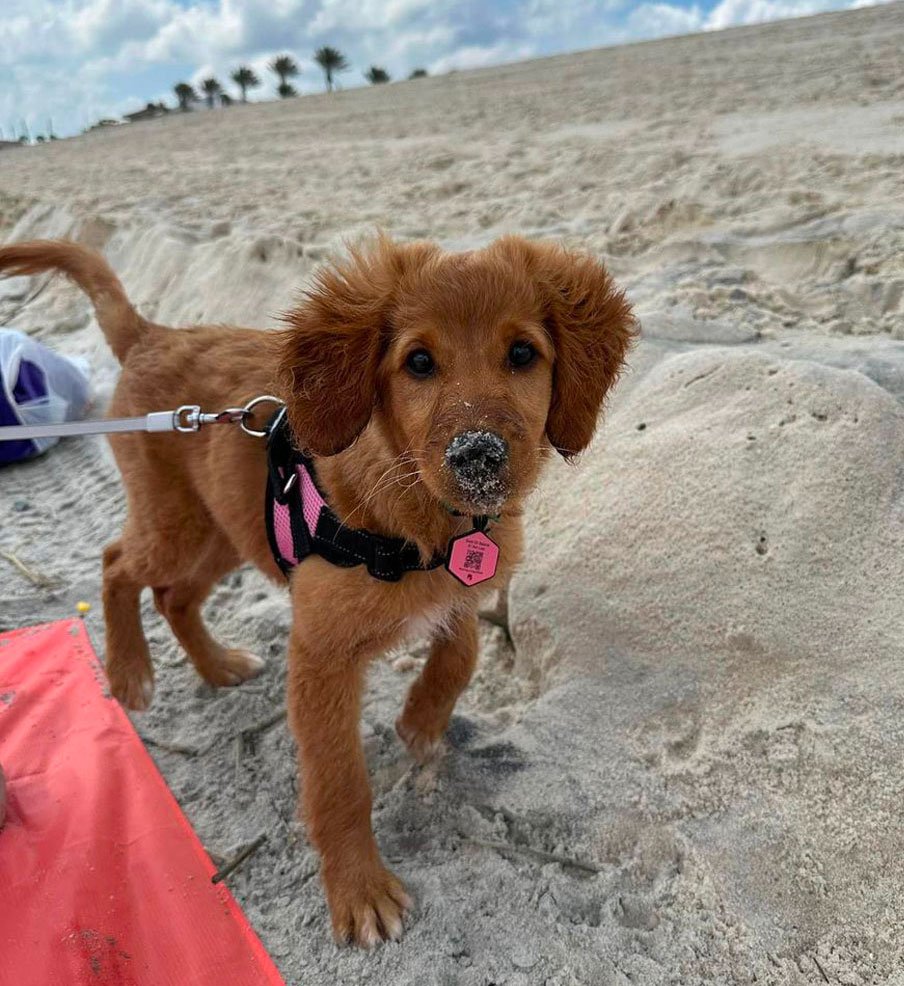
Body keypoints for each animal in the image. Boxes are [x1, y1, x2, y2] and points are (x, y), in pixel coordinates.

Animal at [0, 236, 636, 944]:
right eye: (419, 362)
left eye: (523, 353)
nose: (478, 457)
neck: (417, 512)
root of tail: (153, 335)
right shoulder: (321, 656)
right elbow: (339, 782)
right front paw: (359, 890)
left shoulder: (464, 584)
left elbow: (461, 650)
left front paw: (420, 722)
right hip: (177, 524)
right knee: (116, 563)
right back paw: (130, 672)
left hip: (226, 528)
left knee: (174, 596)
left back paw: (218, 666)